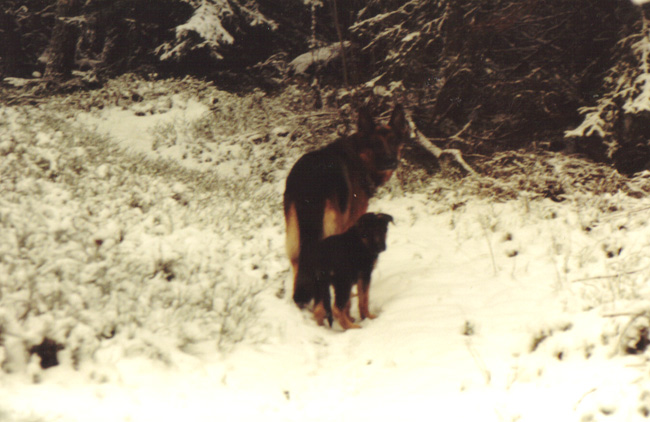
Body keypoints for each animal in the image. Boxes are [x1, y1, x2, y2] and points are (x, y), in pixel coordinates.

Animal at [284, 104, 404, 304]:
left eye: (394, 141)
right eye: (376, 144)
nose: (391, 161)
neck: (360, 156)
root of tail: (309, 180)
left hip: (294, 235)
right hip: (331, 228)